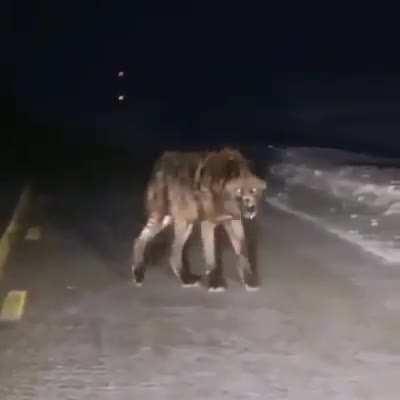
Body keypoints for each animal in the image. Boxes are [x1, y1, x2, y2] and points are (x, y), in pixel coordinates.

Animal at [131, 147, 268, 290]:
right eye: (239, 191)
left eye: (253, 190)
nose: (251, 209)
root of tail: (162, 162)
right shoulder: (208, 222)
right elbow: (211, 256)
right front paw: (216, 284)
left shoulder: (234, 221)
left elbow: (243, 252)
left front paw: (249, 281)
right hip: (177, 219)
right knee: (162, 250)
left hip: (174, 220)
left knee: (148, 243)